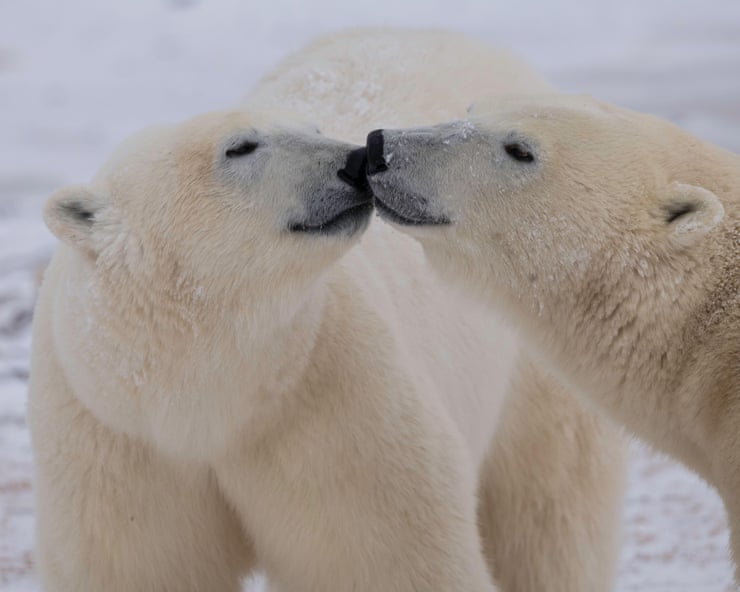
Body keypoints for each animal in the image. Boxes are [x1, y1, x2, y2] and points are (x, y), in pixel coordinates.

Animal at [29, 29, 626, 592]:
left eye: (314, 128)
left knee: (549, 520)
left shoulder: (329, 400)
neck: (210, 404)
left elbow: (384, 558)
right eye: (240, 147)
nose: (355, 159)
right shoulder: (114, 438)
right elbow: (140, 567)